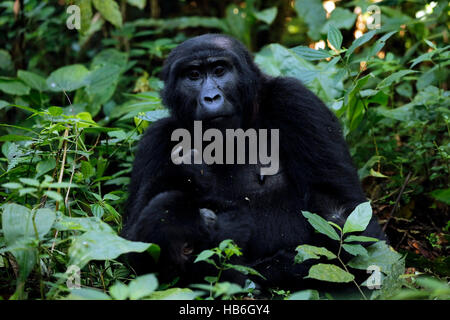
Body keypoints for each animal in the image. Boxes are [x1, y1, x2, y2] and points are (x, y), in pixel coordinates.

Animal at [121, 33, 384, 288]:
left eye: (219, 70)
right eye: (193, 75)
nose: (211, 97)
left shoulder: (297, 102)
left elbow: (344, 221)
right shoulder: (155, 139)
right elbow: (135, 251)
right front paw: (182, 175)